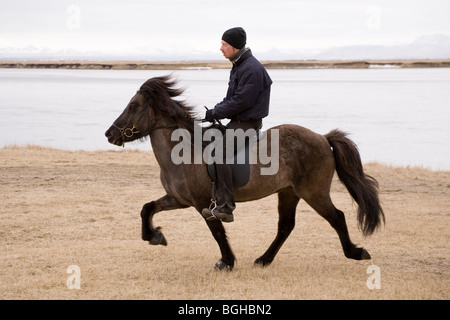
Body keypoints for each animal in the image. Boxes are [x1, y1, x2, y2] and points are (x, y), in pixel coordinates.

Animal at [104, 74, 384, 270]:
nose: (109, 134)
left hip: (314, 192)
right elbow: (147, 208)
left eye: (133, 106)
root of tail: (322, 138)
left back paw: (355, 252)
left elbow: (217, 232)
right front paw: (154, 236)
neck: (182, 152)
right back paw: (264, 260)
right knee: (286, 226)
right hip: (289, 192)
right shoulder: (179, 200)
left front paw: (226, 261)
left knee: (336, 217)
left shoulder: (203, 203)